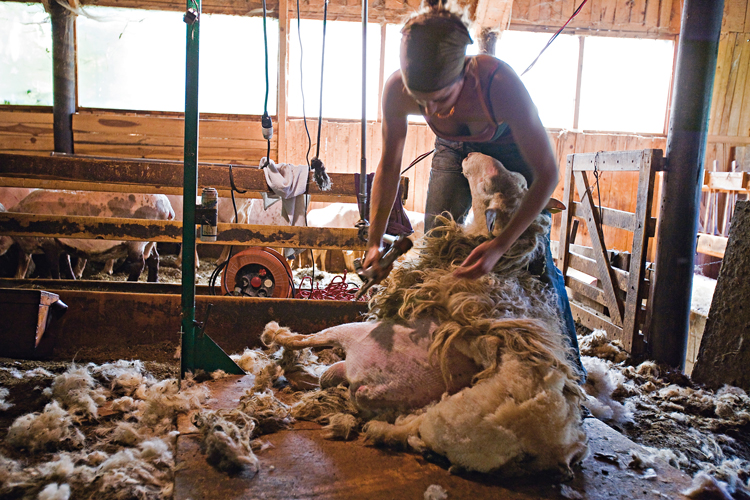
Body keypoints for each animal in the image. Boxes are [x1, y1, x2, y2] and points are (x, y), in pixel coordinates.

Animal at [262, 152, 592, 476]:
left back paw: (277, 336)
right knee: (376, 407)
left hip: (361, 340)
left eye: (491, 182)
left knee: (309, 346)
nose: (470, 154)